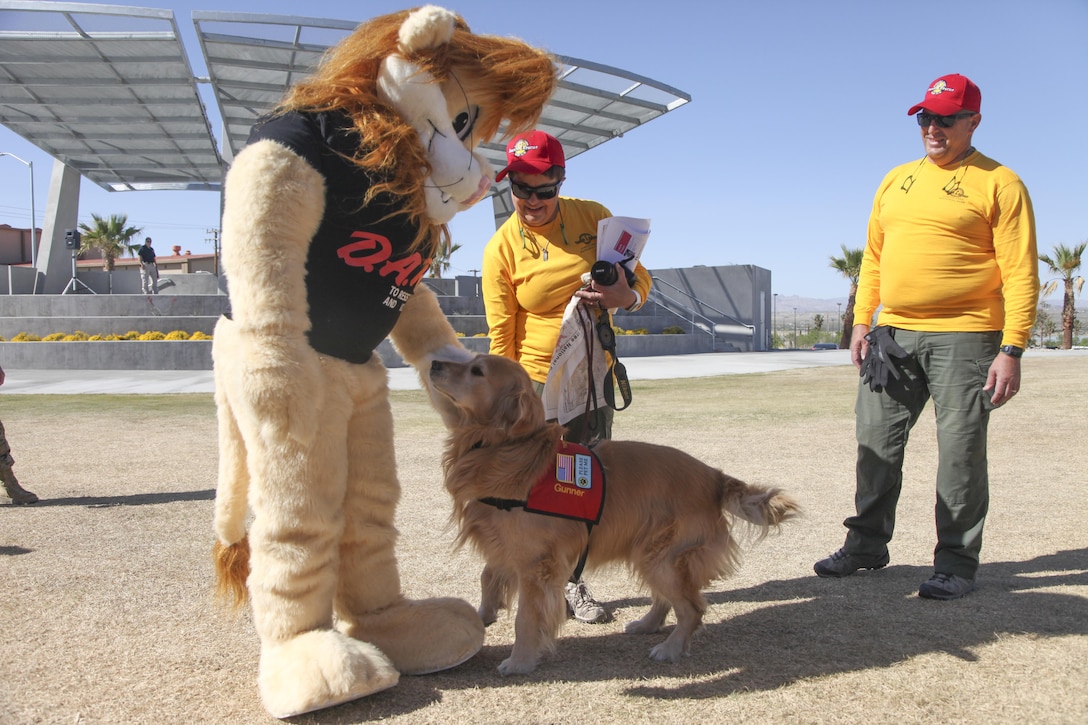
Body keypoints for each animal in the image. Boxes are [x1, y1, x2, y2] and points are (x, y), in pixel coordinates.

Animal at [426, 352, 800, 674]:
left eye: (477, 371)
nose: (433, 363)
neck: (506, 448)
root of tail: (714, 476)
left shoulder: (537, 563)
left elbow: (526, 617)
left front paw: (520, 661)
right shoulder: (506, 544)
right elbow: (487, 576)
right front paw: (483, 616)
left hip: (662, 555)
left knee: (692, 608)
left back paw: (670, 647)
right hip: (649, 551)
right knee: (668, 599)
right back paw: (648, 624)